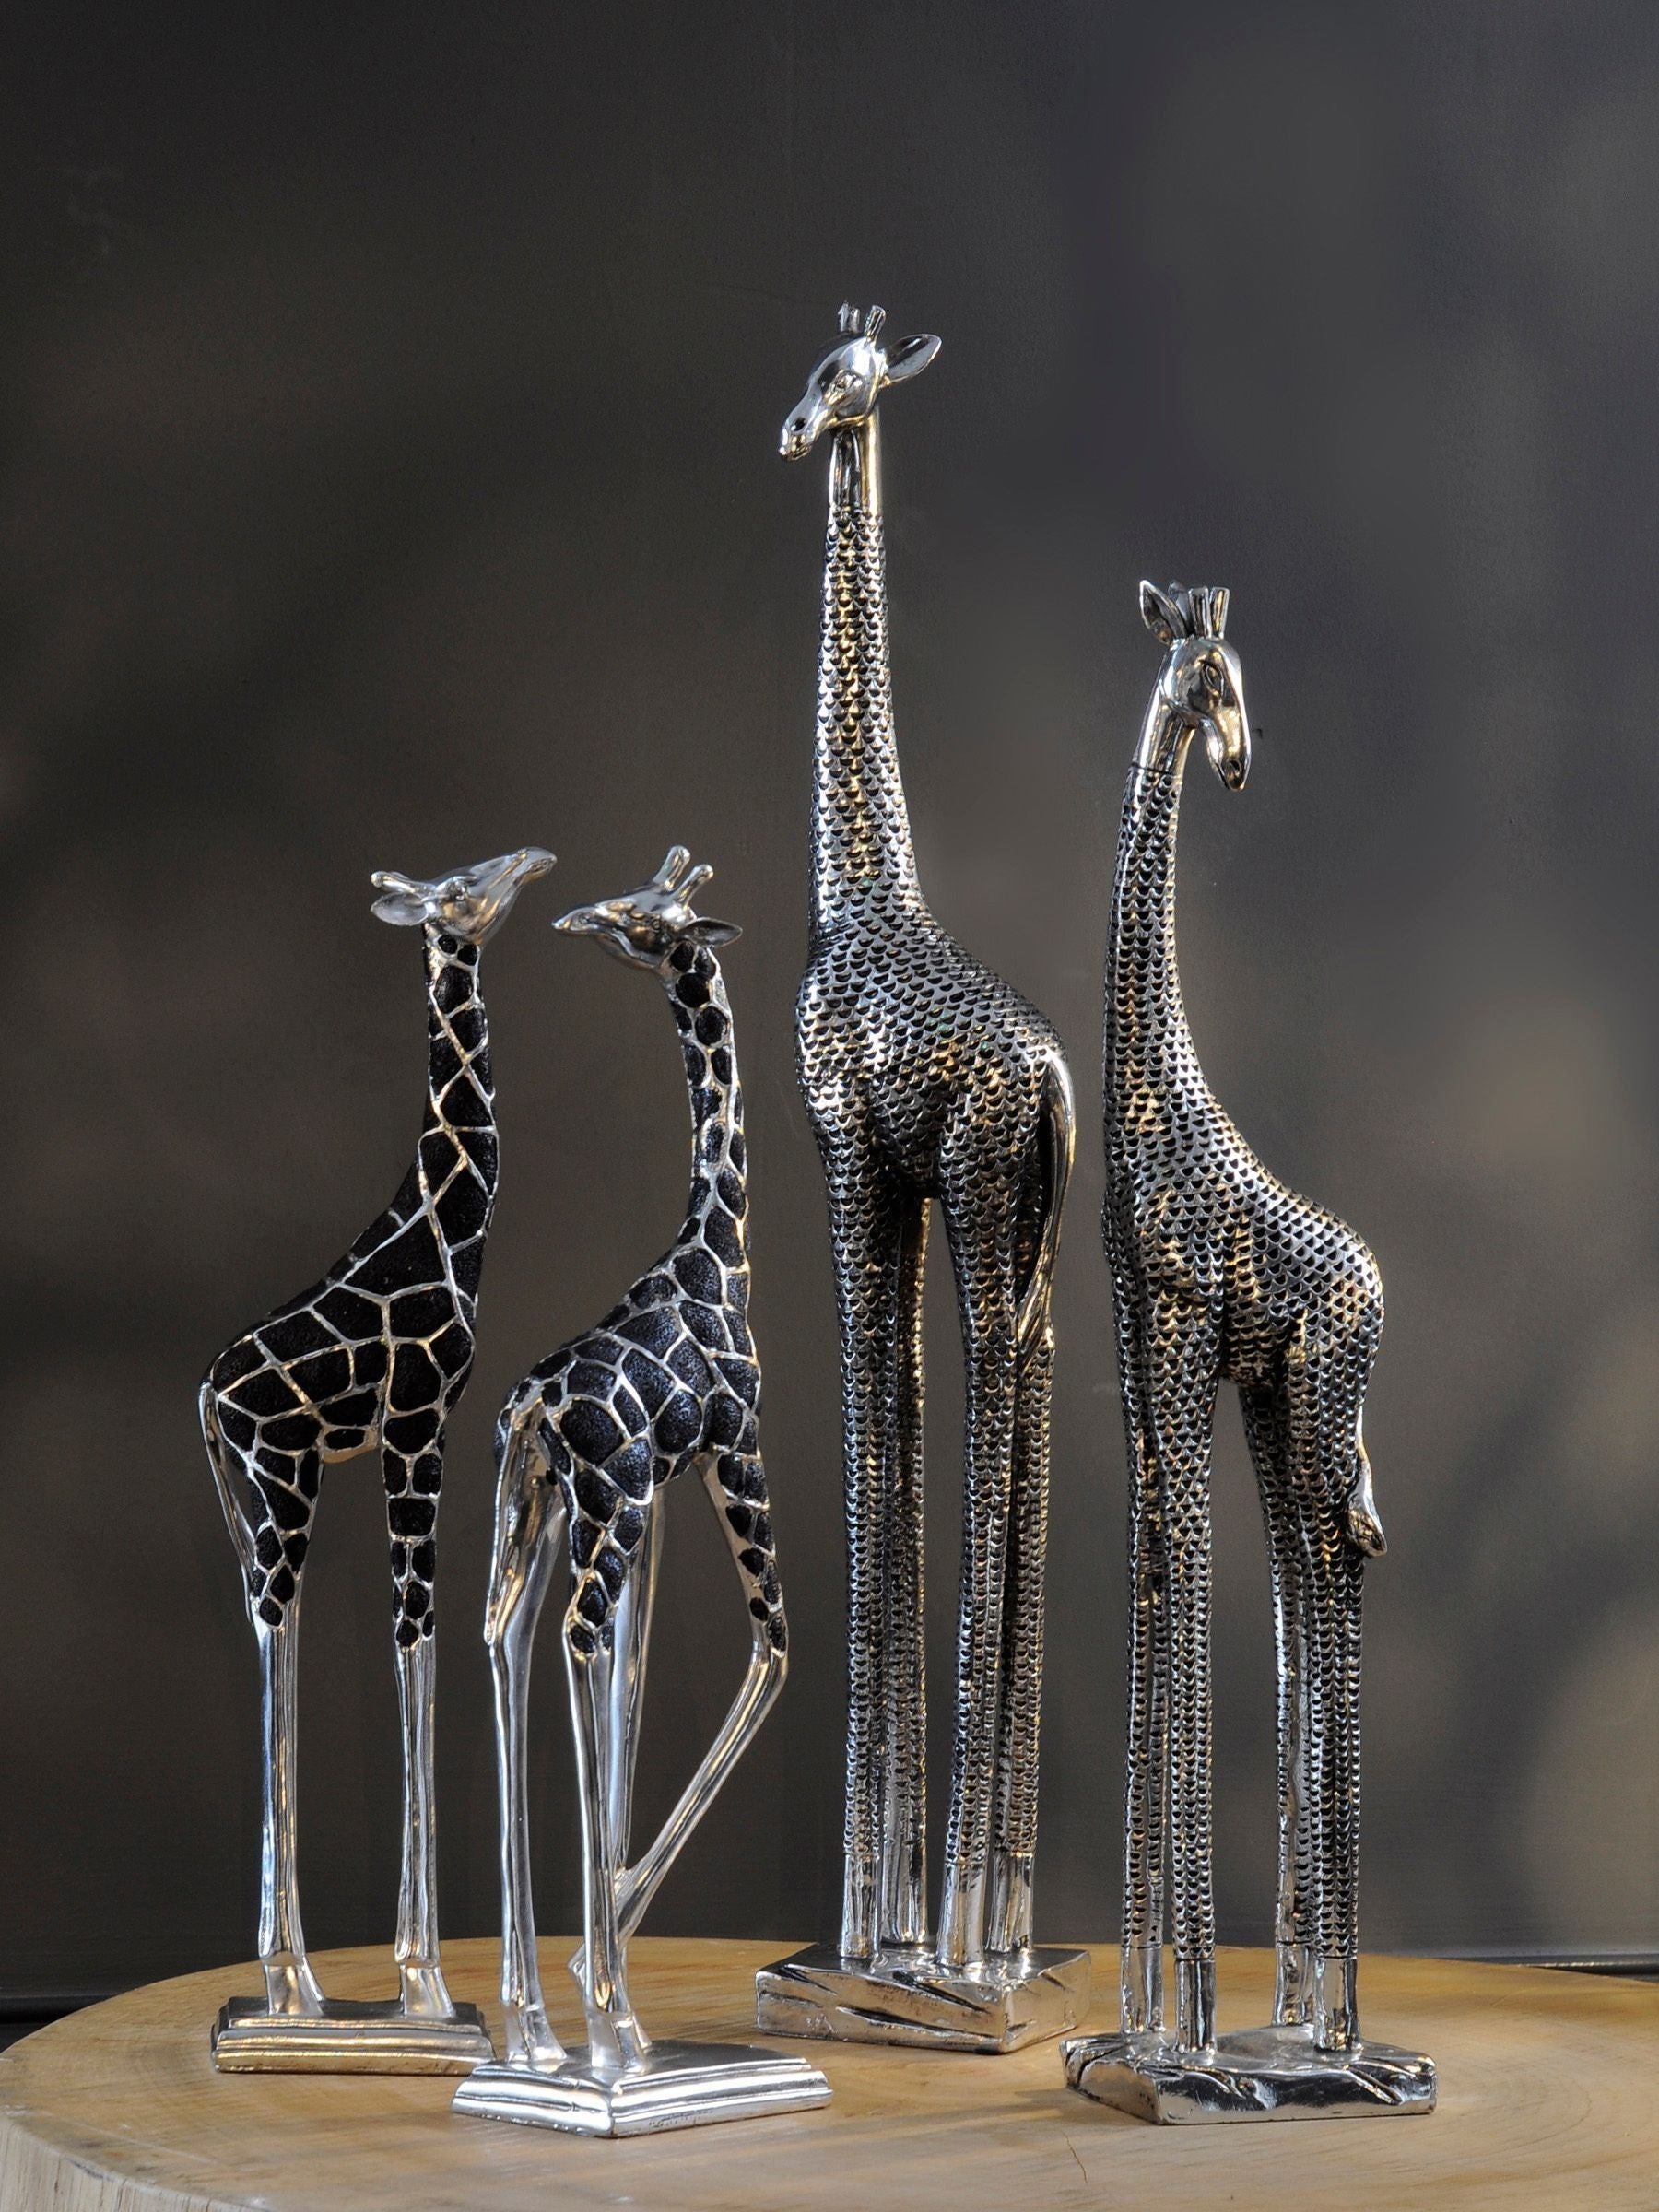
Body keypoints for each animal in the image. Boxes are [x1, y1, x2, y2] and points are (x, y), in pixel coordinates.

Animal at [200, 845, 553, 2035]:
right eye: (463, 888)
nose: (531, 861)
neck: (445, 1225)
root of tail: (206, 1397)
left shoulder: (417, 1437)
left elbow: (416, 1634)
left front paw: (421, 1985)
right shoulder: (416, 1425)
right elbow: (419, 1635)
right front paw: (426, 1982)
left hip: (274, 1489)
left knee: (274, 1622)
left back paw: (296, 1984)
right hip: (284, 1473)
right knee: (277, 1626)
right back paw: (287, 1987)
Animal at [475, 849, 793, 2079]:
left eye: (645, 918)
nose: (576, 918)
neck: (718, 1248)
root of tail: (528, 1407)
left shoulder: (657, 1494)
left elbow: (636, 1687)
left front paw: (602, 1941)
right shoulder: (734, 1452)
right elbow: (770, 1652)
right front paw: (605, 1948)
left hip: (545, 1509)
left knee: (512, 1635)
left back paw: (535, 2029)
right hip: (600, 1506)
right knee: (572, 1634)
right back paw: (598, 2029)